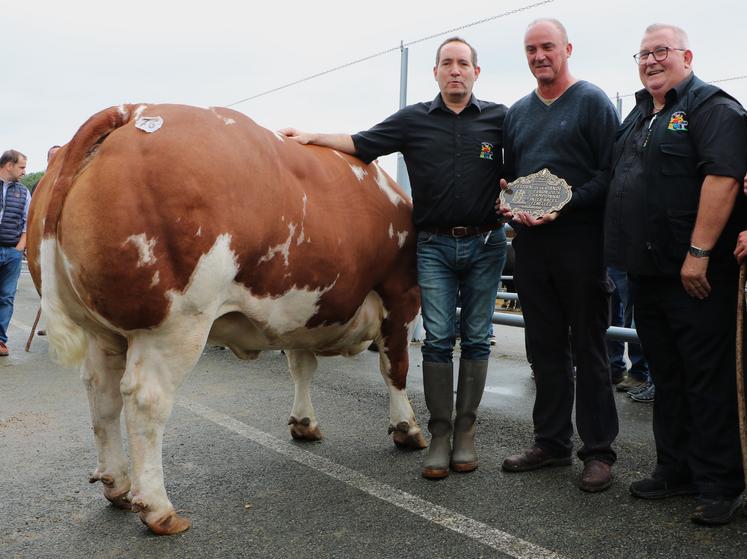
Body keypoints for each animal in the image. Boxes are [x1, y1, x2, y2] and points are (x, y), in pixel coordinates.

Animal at [26, 103, 426, 536]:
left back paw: (117, 484)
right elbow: (395, 369)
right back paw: (158, 509)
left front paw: (303, 423)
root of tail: (131, 111)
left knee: (102, 395)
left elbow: (302, 367)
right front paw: (407, 428)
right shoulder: (402, 297)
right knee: (147, 400)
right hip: (174, 325)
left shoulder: (300, 314)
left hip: (103, 331)